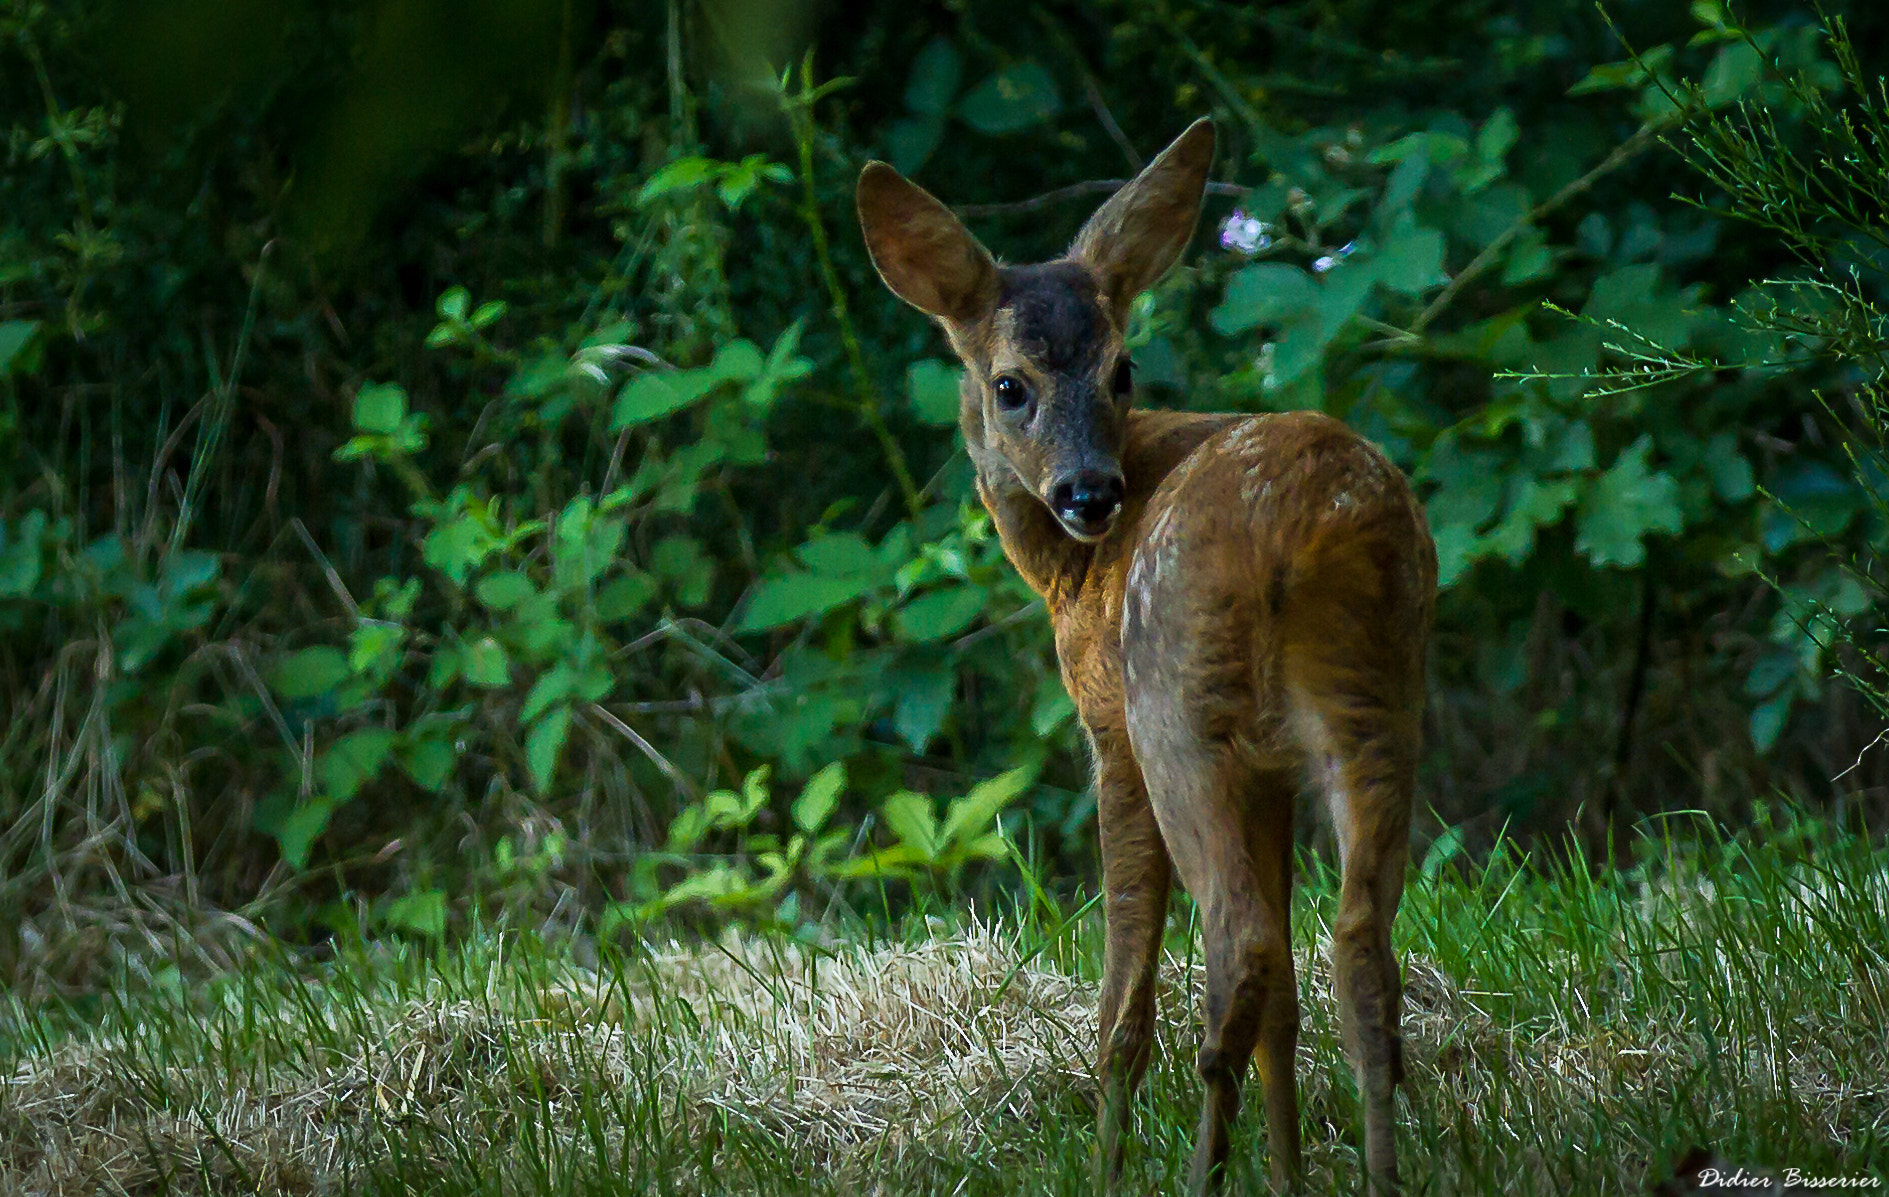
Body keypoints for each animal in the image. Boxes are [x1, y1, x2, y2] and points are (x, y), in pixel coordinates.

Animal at [856, 117, 1436, 1195]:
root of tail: (1305, 528)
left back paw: (1200, 1171)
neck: (1067, 575)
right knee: (1352, 948)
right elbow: (1285, 1006)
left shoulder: (1108, 729)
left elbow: (1125, 989)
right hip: (1380, 694)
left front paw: (1111, 1160)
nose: (1088, 491)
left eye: (1121, 372)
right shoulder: (1273, 771)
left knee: (1239, 949)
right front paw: (1286, 1177)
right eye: (1010, 385)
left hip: (1176, 709)